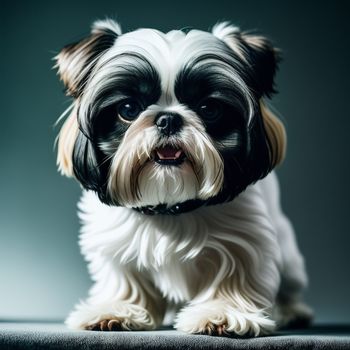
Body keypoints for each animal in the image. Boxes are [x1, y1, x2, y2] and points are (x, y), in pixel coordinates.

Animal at [54, 19, 312, 336]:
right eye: (128, 109)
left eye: (209, 109)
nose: (168, 118)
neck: (170, 207)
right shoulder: (116, 243)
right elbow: (126, 279)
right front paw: (118, 309)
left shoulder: (243, 240)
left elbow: (234, 276)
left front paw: (222, 314)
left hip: (289, 257)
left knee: (289, 286)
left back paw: (291, 311)